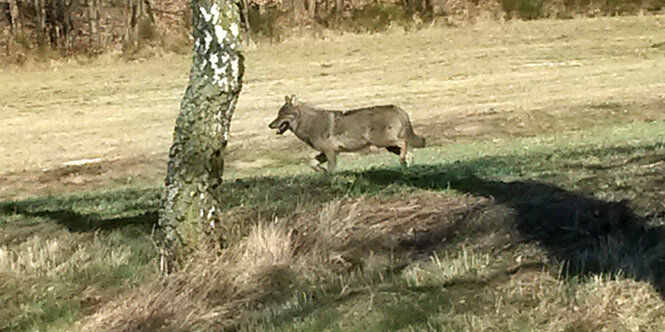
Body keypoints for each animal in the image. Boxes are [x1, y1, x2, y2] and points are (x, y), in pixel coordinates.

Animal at [266, 94, 426, 172]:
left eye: (281, 115)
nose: (269, 125)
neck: (308, 123)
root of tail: (398, 109)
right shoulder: (327, 152)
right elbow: (312, 163)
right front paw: (321, 171)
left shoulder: (330, 153)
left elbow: (330, 171)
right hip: (389, 146)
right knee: (410, 152)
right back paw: (407, 167)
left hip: (382, 142)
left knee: (404, 144)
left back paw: (404, 162)